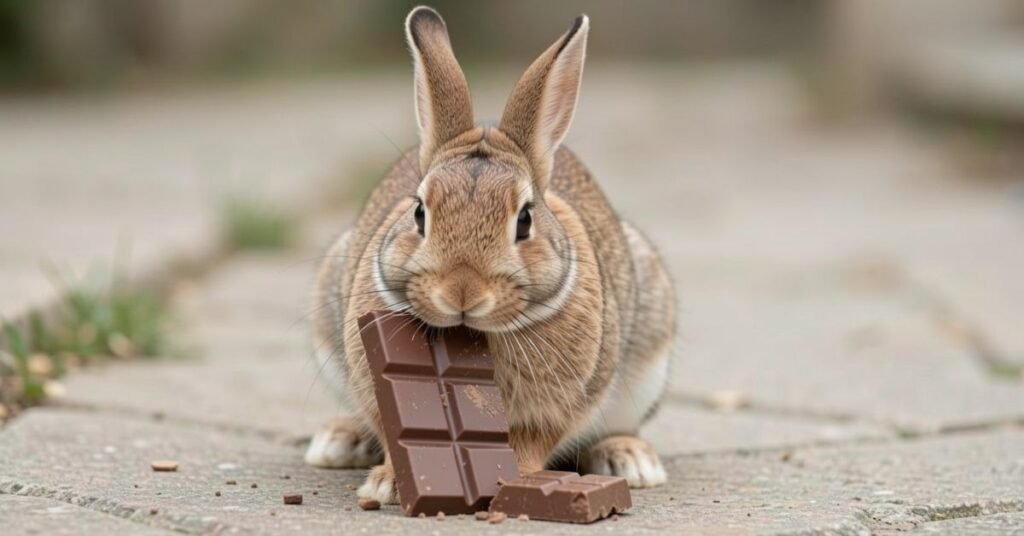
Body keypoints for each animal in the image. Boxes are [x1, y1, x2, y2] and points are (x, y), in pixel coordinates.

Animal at [304, 6, 676, 504]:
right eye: (419, 212)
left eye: (524, 220)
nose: (462, 292)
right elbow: (390, 424)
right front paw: (389, 483)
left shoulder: (559, 405)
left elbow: (533, 440)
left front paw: (507, 479)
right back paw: (338, 441)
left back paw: (630, 460)